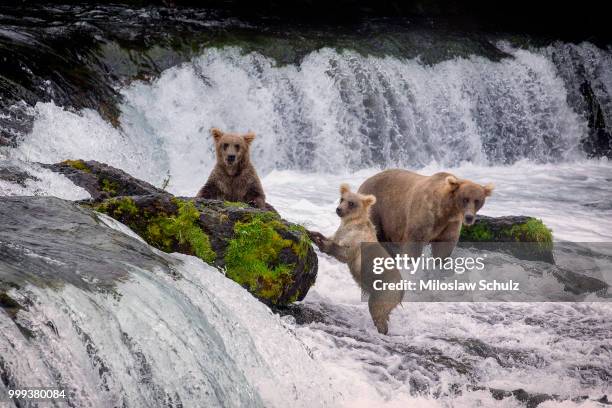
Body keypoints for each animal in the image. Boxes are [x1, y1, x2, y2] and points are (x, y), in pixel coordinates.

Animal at [358, 169, 492, 258]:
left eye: (477, 200)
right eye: (465, 199)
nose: (469, 217)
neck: (444, 209)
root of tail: (363, 183)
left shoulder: (450, 223)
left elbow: (444, 246)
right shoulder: (423, 216)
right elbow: (413, 244)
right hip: (377, 210)